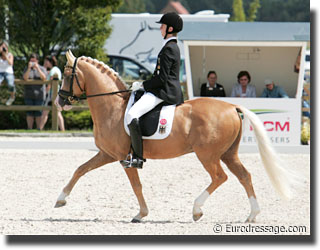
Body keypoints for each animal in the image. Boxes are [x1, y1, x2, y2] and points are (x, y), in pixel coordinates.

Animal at [55, 50, 292, 223]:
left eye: (66, 76)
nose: (59, 101)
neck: (112, 107)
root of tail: (232, 107)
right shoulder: (107, 154)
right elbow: (80, 170)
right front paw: (60, 200)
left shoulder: (123, 157)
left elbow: (136, 185)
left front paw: (141, 214)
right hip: (228, 154)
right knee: (245, 176)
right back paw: (252, 215)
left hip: (208, 155)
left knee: (220, 177)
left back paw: (197, 210)